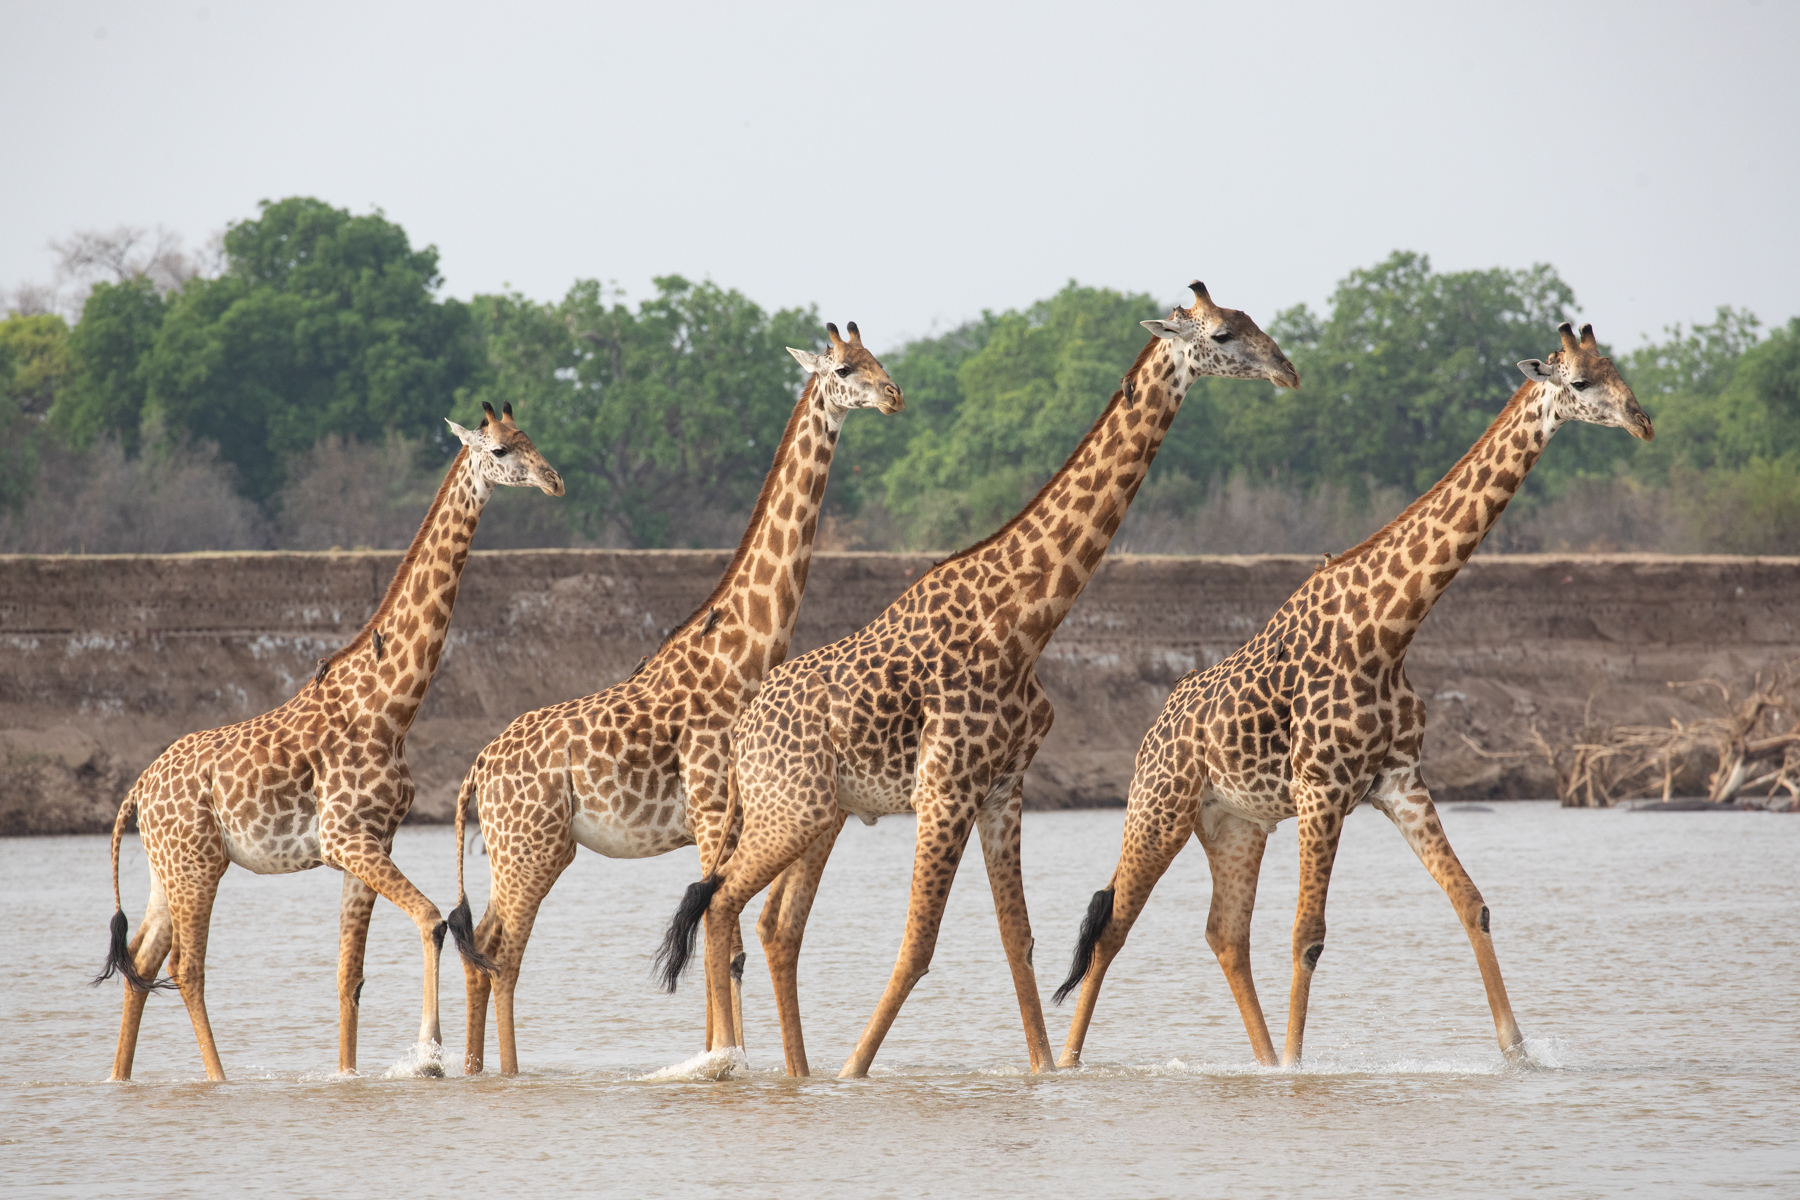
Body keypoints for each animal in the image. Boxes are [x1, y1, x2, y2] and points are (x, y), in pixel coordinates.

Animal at [93, 403, 564, 1082]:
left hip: (168, 867)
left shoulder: (369, 842)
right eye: (501, 450)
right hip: (197, 863)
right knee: (185, 967)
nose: (555, 480)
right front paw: (427, 1057)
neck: (392, 709)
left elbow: (349, 976)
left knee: (141, 961)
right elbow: (431, 920)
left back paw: (119, 1080)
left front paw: (349, 1076)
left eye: (529, 436)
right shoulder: (347, 838)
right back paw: (220, 1080)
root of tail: (136, 790)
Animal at [444, 322, 903, 1075]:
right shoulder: (714, 810)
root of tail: (476, 770)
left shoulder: (722, 823)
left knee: (486, 944)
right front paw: (724, 1063)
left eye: (877, 358)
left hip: (535, 849)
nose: (894, 395)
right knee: (498, 949)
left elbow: (721, 937)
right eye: (843, 368)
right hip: (527, 847)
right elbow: (729, 941)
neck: (744, 650)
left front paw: (721, 1060)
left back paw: (482, 1071)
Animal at [658, 282, 1301, 1078]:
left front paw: (1045, 1070)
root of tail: (744, 726)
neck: (1025, 622)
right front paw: (852, 1073)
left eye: (1249, 322)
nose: (1288, 370)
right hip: (793, 811)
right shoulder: (945, 787)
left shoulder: (1003, 787)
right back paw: (728, 1063)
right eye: (1222, 335)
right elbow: (917, 944)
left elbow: (1016, 938)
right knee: (722, 903)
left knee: (767, 921)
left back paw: (776, 1071)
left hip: (816, 815)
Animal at [1054, 323, 1654, 1069]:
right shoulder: (1323, 790)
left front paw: (1517, 1054)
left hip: (1234, 824)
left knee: (1225, 934)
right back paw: (1069, 1065)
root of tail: (1151, 732)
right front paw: (1298, 1071)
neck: (1389, 630)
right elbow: (1307, 935)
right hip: (1159, 809)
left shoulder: (1399, 781)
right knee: (1115, 925)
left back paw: (1260, 1062)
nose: (1643, 421)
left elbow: (1472, 902)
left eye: (1617, 369)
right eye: (1579, 381)